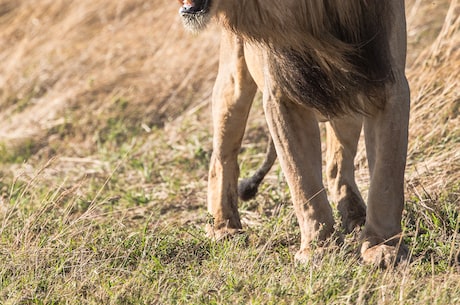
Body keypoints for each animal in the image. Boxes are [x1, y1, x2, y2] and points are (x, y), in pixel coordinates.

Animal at [178, 0, 412, 266]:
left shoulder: (386, 81)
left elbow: (386, 178)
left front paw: (383, 246)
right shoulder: (283, 96)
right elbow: (303, 180)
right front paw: (320, 249)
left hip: (347, 99)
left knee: (336, 165)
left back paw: (355, 215)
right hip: (233, 79)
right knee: (222, 157)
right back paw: (223, 227)